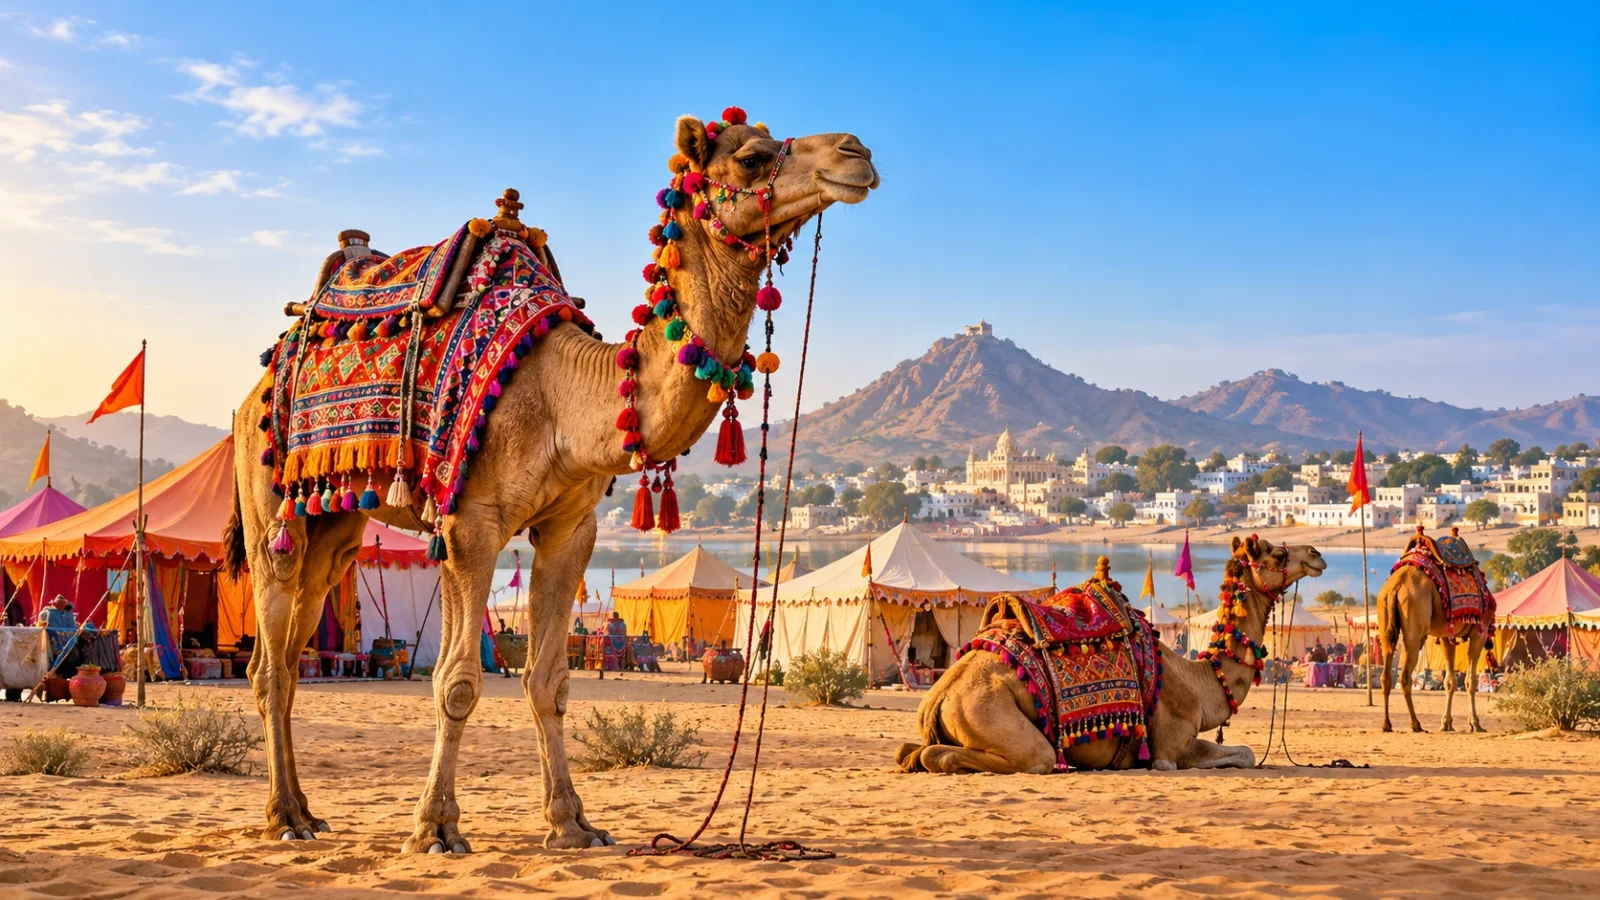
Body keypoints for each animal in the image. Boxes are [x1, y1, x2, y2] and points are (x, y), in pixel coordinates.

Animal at [226, 114, 878, 852]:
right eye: (750, 157)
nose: (856, 152)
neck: (565, 398)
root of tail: (254, 390)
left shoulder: (571, 528)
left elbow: (550, 681)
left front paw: (571, 821)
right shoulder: (469, 525)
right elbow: (456, 682)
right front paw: (436, 828)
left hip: (334, 529)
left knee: (291, 641)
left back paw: (304, 811)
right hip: (266, 496)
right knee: (270, 656)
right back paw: (283, 815)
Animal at [897, 536, 1326, 774]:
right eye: (1273, 554)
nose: (1316, 553)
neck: (1199, 681)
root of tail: (938, 696)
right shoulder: (1169, 748)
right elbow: (1247, 754)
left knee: (910, 750)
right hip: (992, 714)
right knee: (1013, 757)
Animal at [1377, 531, 1490, 733]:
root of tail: (1396, 586)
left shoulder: (1446, 636)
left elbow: (1450, 681)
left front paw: (1446, 723)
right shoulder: (1480, 632)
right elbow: (1470, 682)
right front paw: (1475, 724)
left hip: (1384, 620)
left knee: (1386, 674)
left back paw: (1387, 724)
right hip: (1414, 626)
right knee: (1405, 677)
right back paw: (1416, 724)